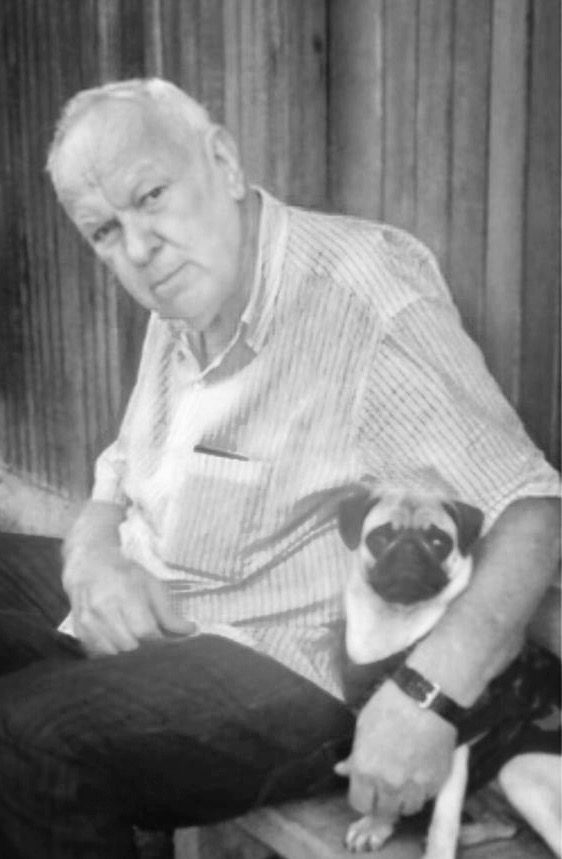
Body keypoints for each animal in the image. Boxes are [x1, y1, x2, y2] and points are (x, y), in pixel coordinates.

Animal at [334, 482, 561, 857]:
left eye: (439, 541)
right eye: (380, 537)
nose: (409, 549)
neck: (397, 623)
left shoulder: (451, 747)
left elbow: (444, 819)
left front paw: (438, 847)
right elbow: (387, 792)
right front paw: (376, 825)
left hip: (519, 772)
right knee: (507, 824)